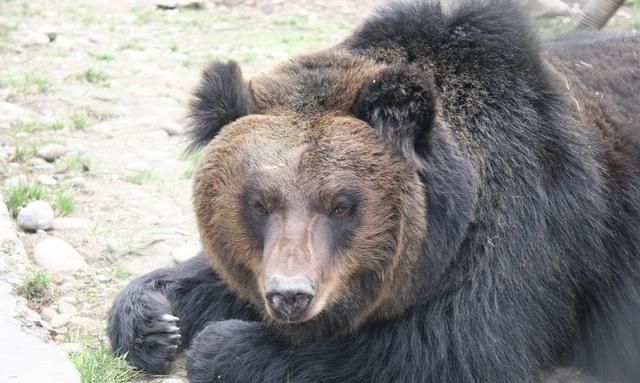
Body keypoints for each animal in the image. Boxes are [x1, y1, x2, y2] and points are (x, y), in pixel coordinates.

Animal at [107, 0, 640, 383]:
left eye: (341, 204)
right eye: (258, 202)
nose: (289, 296)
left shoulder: (529, 230)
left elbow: (453, 346)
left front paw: (222, 347)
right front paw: (153, 321)